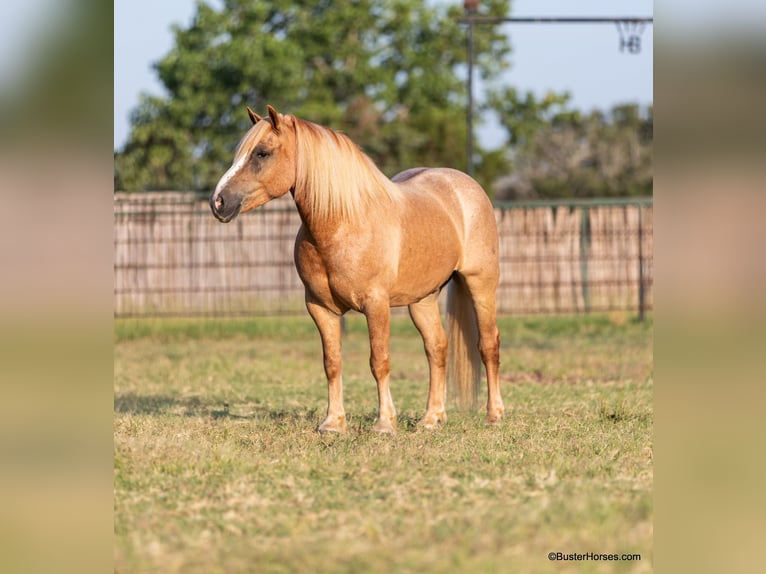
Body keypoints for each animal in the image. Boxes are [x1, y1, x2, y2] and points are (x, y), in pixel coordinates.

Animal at [213, 106, 508, 434]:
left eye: (262, 153)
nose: (219, 202)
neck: (343, 222)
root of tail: (466, 186)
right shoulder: (320, 308)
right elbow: (332, 363)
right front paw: (333, 423)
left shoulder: (375, 304)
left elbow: (379, 361)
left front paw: (385, 423)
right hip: (423, 299)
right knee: (437, 347)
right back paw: (432, 418)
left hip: (480, 285)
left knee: (488, 345)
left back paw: (494, 415)